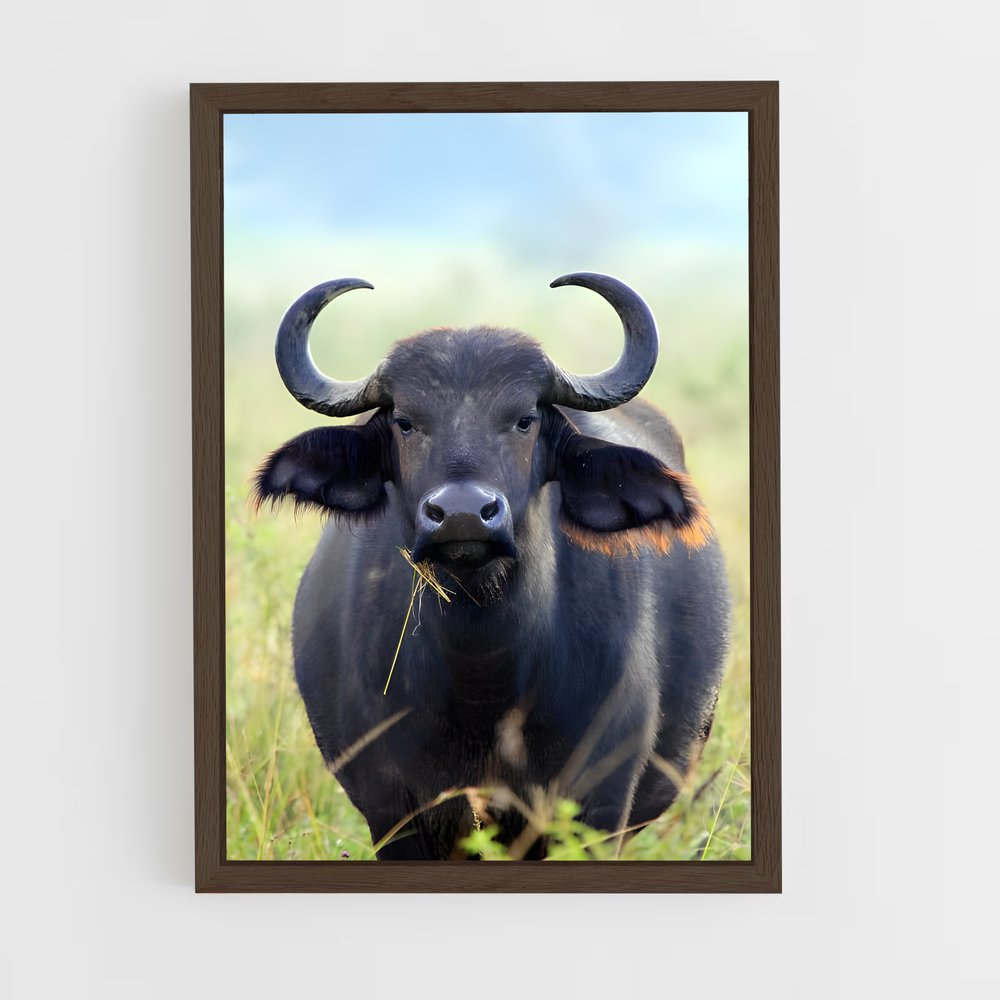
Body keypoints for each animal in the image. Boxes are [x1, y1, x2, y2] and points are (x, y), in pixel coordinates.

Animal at [254, 273, 730, 860]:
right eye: (405, 422)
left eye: (525, 420)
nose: (462, 514)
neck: (484, 681)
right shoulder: (392, 810)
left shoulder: (598, 807)